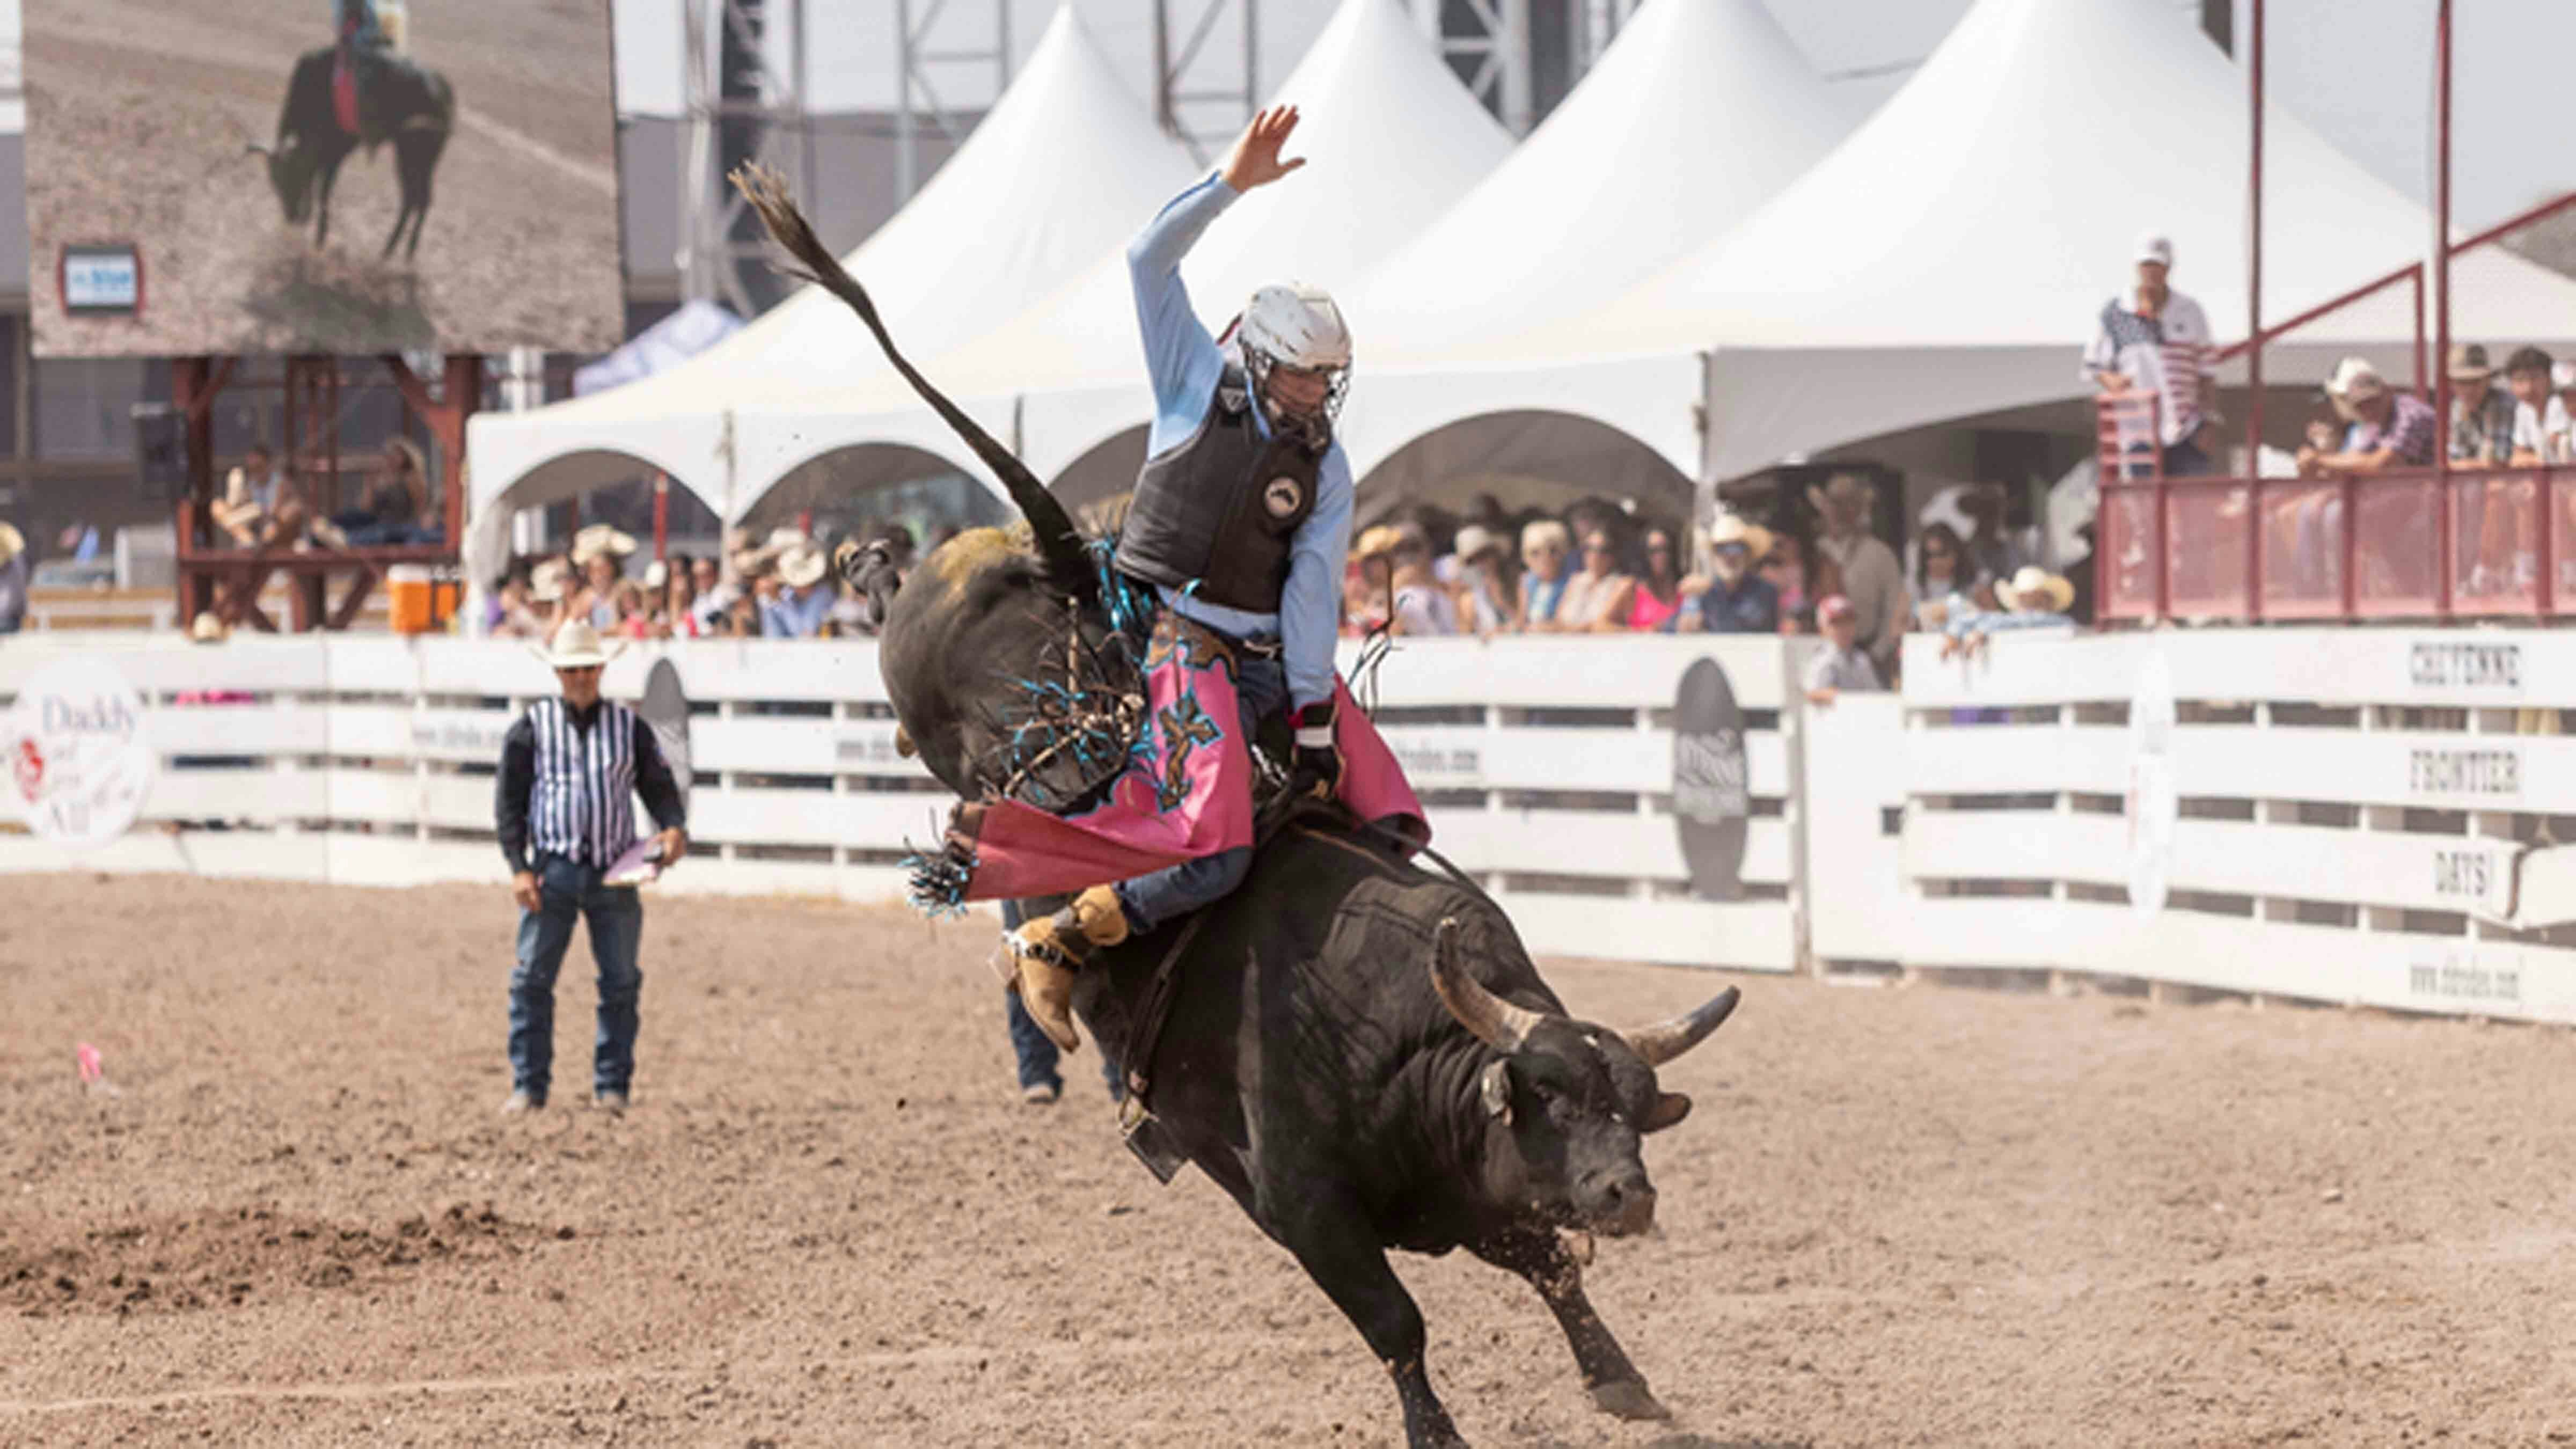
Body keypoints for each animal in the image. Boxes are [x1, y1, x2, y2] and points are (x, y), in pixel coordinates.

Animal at [747, 166, 1752, 1433]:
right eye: (1554, 1097)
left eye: (1633, 1101)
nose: (1628, 1193)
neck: (1401, 1040)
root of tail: (1075, 578)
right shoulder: (1303, 1209)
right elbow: (1398, 1323)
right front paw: (1435, 1426)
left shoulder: (1465, 1194)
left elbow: (1549, 1268)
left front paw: (1621, 1378)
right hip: (928, 671)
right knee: (907, 626)